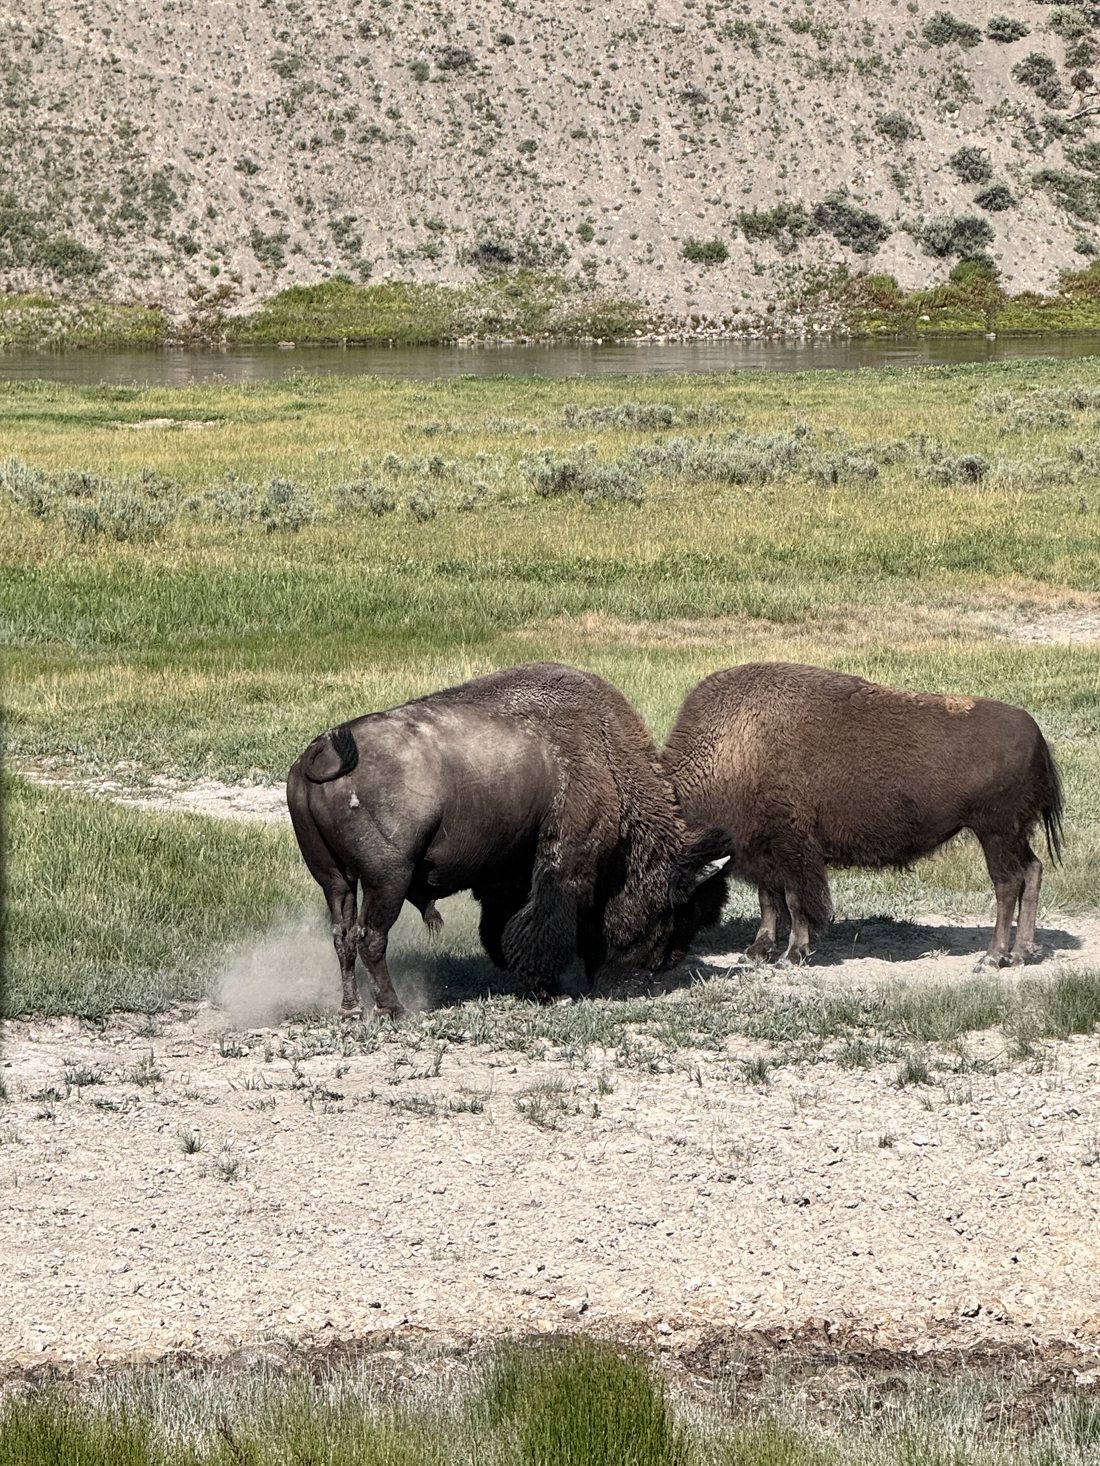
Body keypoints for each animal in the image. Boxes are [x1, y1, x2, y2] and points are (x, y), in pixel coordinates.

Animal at [287, 662, 731, 1017]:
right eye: (676, 906)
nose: (663, 964)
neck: (605, 757)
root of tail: (322, 751)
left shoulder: (506, 877)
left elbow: (502, 927)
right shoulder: (566, 862)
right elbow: (541, 926)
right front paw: (548, 990)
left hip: (335, 880)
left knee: (343, 936)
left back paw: (350, 1009)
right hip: (387, 880)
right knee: (371, 939)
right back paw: (393, 1009)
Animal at [662, 662, 1064, 971]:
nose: (664, 961)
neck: (734, 746)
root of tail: (1037, 736)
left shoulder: (793, 848)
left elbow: (794, 900)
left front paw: (792, 955)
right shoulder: (761, 849)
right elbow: (769, 900)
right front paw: (756, 951)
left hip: (995, 833)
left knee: (1007, 884)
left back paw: (992, 959)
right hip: (1015, 835)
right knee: (1032, 871)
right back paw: (1022, 953)